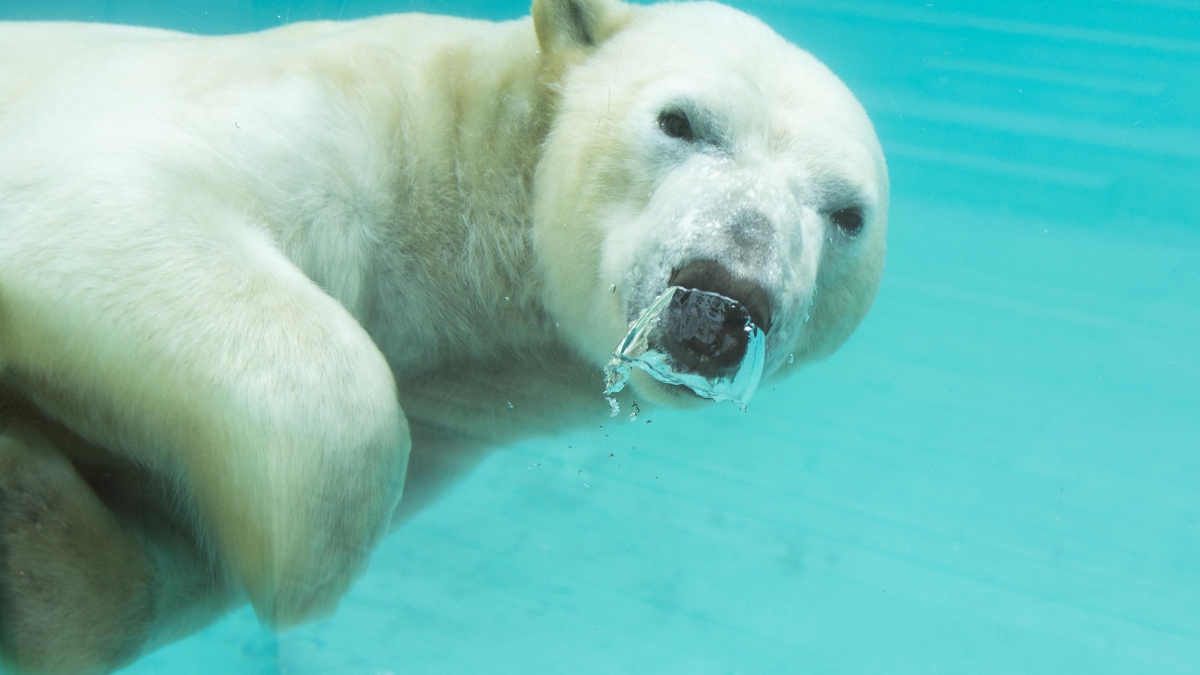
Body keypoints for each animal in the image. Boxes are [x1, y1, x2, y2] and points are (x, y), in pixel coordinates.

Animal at [0, 0, 883, 667]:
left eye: (848, 214)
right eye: (680, 120)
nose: (724, 297)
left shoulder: (446, 411)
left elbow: (167, 542)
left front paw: (31, 516)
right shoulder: (320, 118)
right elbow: (98, 200)